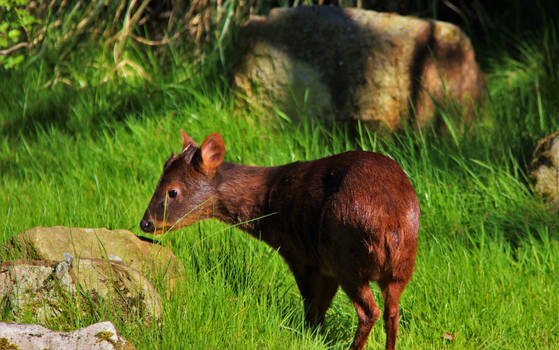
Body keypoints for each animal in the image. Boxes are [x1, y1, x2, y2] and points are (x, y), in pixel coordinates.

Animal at [140, 129, 420, 350]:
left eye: (172, 192)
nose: (145, 223)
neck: (268, 202)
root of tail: (391, 228)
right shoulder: (323, 265)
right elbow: (321, 307)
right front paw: (316, 335)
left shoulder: (301, 255)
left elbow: (312, 305)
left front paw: (309, 335)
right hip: (399, 269)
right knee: (392, 312)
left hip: (345, 257)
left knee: (369, 312)